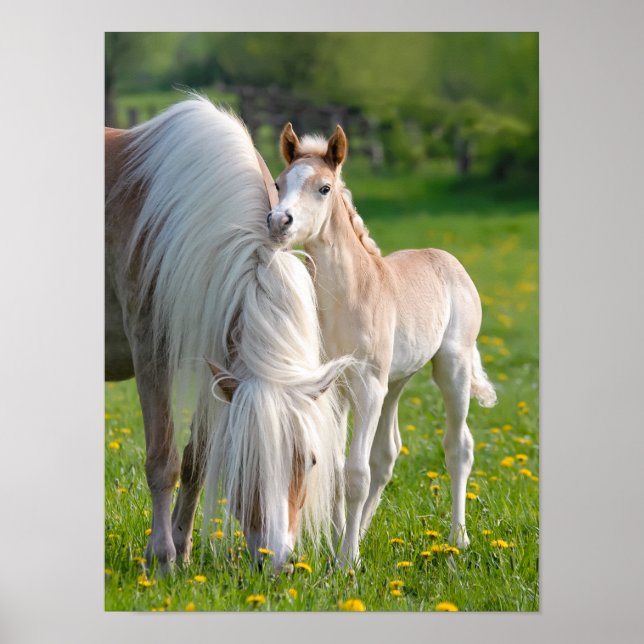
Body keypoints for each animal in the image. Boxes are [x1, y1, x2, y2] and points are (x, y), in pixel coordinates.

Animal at [105, 96, 351, 574]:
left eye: (311, 460)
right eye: (245, 461)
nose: (277, 563)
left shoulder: (215, 359)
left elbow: (195, 461)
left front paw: (180, 549)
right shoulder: (151, 349)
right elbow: (163, 460)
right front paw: (162, 559)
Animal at [267, 123, 497, 566]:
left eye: (323, 188)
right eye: (279, 183)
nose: (278, 221)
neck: (348, 297)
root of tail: (447, 258)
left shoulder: (367, 384)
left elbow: (356, 472)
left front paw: (346, 562)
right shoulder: (335, 389)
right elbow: (340, 468)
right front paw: (339, 544)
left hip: (450, 368)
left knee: (458, 447)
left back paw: (458, 539)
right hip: (395, 383)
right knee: (387, 454)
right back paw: (362, 532)